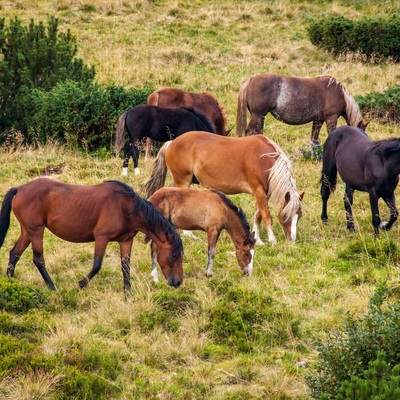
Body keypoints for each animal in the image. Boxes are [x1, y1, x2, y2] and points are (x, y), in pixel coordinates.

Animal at [0, 178, 184, 290]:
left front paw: (128, 293)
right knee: (38, 260)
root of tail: (20, 189)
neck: (126, 207)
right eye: (174, 255)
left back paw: (10, 282)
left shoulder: (126, 241)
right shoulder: (101, 238)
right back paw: (52, 287)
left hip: (27, 231)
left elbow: (125, 266)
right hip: (36, 231)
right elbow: (97, 265)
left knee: (15, 253)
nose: (178, 281)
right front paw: (80, 284)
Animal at [144, 131, 304, 245]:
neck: (264, 159)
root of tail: (171, 142)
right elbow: (266, 216)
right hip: (182, 181)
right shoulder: (258, 190)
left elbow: (258, 215)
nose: (292, 239)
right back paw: (187, 234)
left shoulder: (263, 193)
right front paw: (272, 240)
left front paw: (258, 239)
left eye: (299, 216)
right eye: (285, 215)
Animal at [236, 73, 368, 141]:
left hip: (261, 116)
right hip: (257, 115)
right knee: (250, 131)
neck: (338, 93)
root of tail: (251, 79)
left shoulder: (318, 120)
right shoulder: (331, 118)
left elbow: (314, 138)